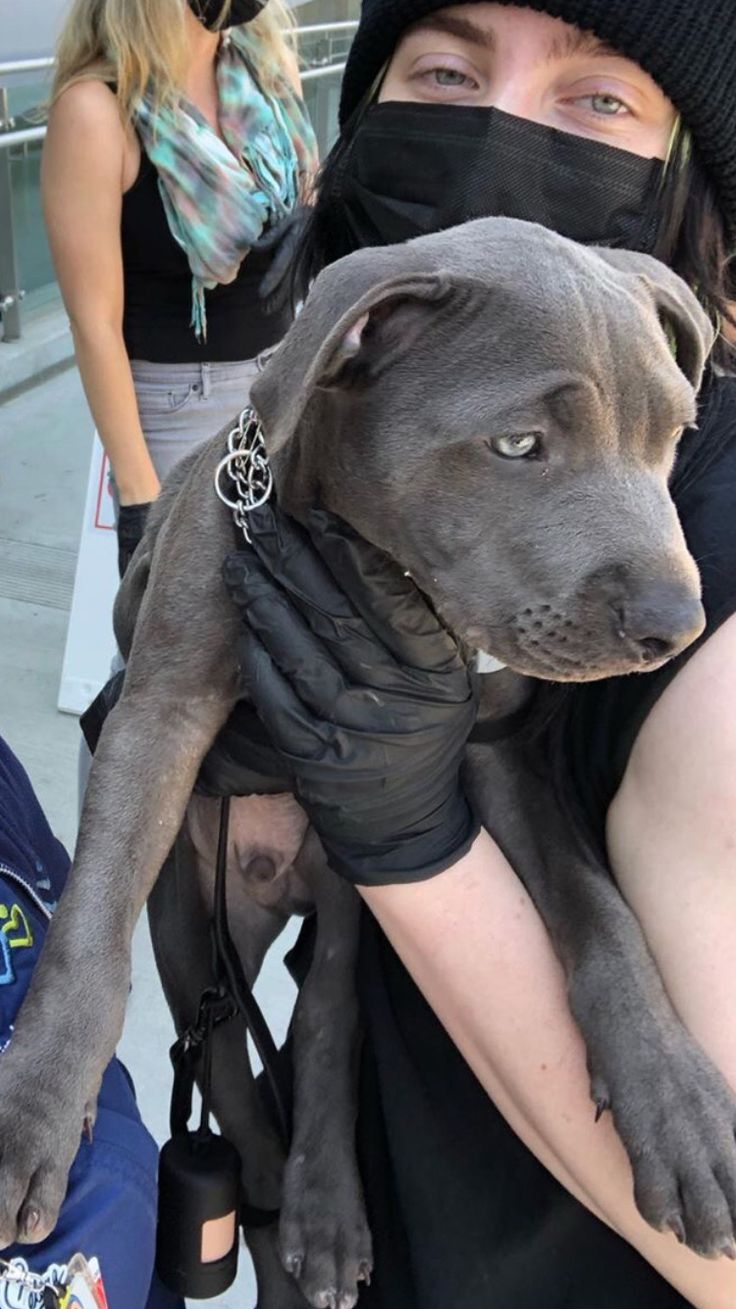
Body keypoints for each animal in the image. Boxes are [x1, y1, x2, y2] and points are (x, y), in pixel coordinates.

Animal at [0, 219, 728, 1303]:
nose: (675, 626)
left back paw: (328, 1210)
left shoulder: (491, 755)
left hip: (347, 891)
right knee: (236, 1084)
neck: (368, 565)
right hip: (195, 928)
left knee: (330, 1016)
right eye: (518, 444)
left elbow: (596, 904)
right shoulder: (158, 711)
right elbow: (89, 928)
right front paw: (33, 1113)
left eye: (672, 435)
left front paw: (673, 1096)